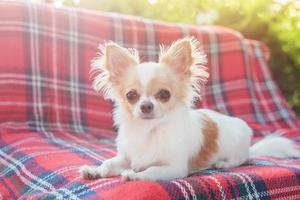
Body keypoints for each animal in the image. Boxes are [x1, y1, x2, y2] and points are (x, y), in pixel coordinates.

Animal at [79, 37, 298, 181]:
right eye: (131, 95)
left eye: (164, 94)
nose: (146, 105)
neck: (150, 131)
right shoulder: (126, 157)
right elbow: (109, 163)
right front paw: (96, 171)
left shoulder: (175, 168)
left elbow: (152, 171)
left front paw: (135, 175)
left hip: (238, 148)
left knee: (241, 159)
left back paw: (223, 163)